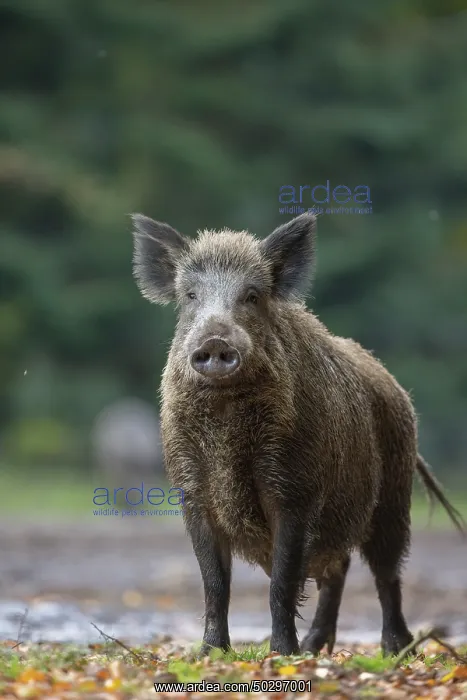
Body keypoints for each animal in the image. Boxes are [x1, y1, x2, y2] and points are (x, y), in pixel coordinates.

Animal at [130, 212, 465, 657]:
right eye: (189, 296)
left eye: (252, 296)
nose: (215, 341)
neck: (225, 420)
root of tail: (395, 388)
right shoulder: (193, 494)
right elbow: (214, 584)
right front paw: (211, 653)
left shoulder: (293, 491)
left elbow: (282, 580)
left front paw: (281, 653)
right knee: (337, 570)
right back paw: (313, 647)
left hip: (393, 496)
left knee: (386, 572)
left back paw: (394, 649)